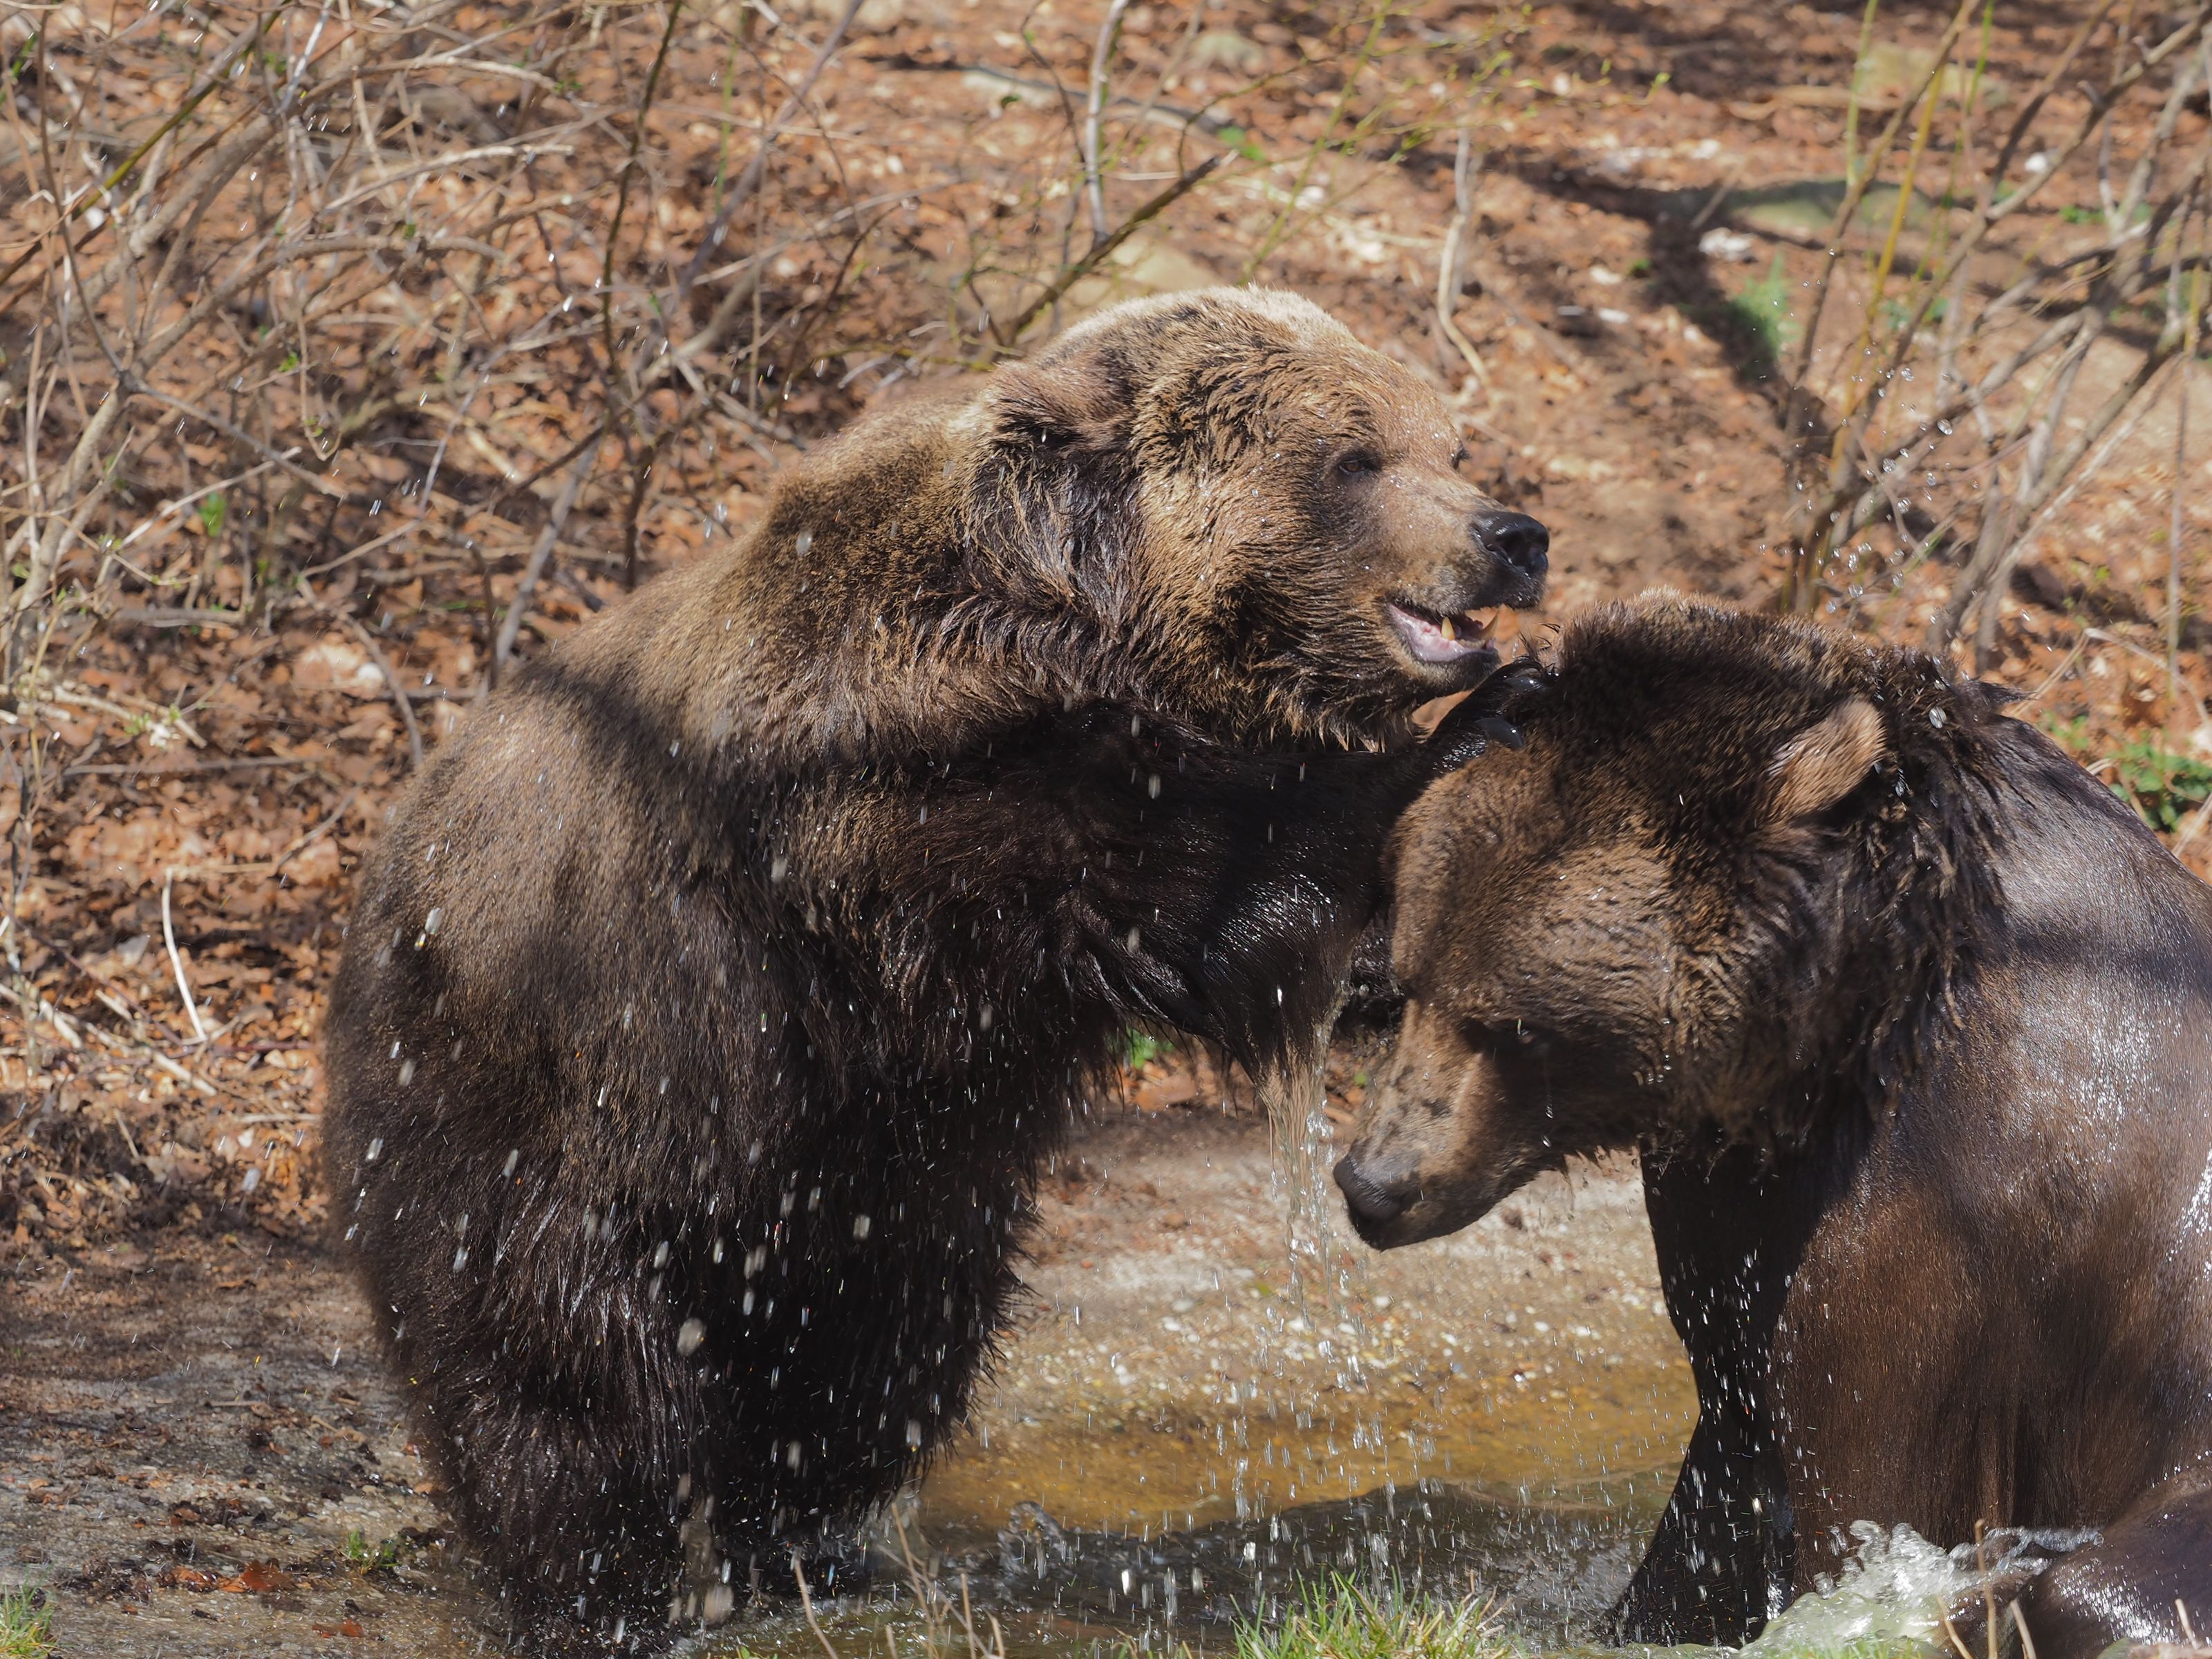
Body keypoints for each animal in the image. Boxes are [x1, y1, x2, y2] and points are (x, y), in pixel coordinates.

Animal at [322, 287, 1549, 1650]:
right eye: (1355, 457)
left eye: (1446, 441)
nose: (1513, 534)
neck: (1091, 630)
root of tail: (383, 871)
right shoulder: (883, 804)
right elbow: (1183, 906)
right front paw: (1467, 730)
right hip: (555, 1098)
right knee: (565, 1368)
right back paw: (607, 1584)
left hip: (870, 1193)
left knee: (879, 1352)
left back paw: (808, 1544)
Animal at [1332, 594, 2212, 1659]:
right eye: (1412, 980)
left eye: (1513, 1025)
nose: (1376, 1183)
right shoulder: (1740, 1200)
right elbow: (1727, 1439)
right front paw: (1638, 1615)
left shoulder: (1943, 1215)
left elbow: (1873, 1466)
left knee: (2094, 1586)